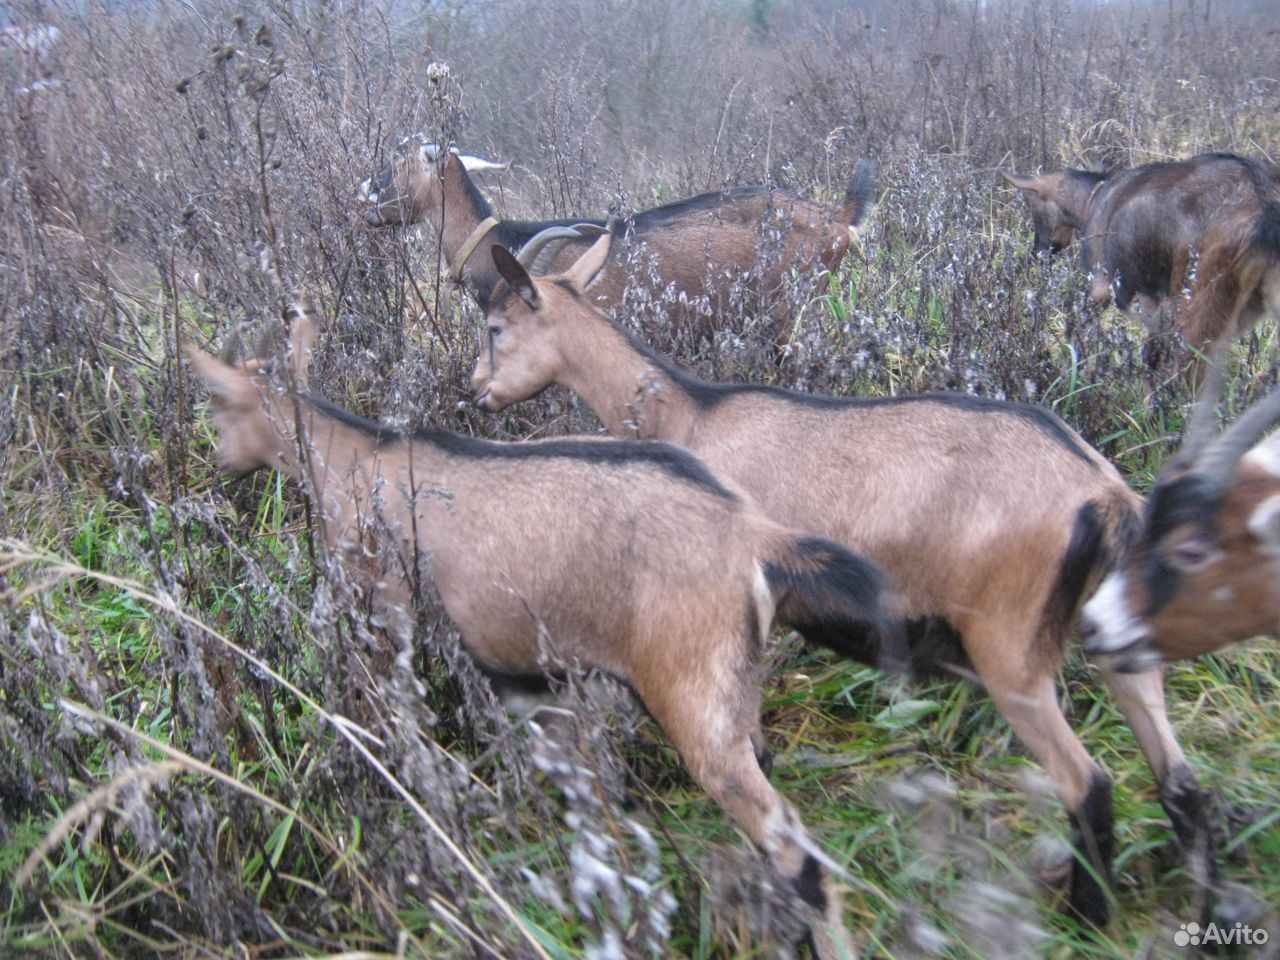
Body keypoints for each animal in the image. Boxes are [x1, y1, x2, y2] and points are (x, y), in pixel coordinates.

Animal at [183, 312, 911, 957]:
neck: (355, 460)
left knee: (793, 844)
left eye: (216, 404)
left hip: (692, 694)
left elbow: (402, 723)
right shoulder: (524, 666)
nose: (216, 464)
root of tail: (755, 535)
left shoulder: (387, 613)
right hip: (737, 684)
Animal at [468, 232, 1218, 931]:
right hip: (1113, 633)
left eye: (496, 326)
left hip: (1010, 652)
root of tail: (1103, 490)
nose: (476, 392)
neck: (689, 412)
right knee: (1180, 778)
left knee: (1088, 785)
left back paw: (1086, 917)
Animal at [1003, 156, 1280, 366]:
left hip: (1197, 308)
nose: (1035, 253)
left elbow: (1074, 329)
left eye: (1033, 207)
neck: (1094, 198)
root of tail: (1261, 198)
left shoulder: (1103, 285)